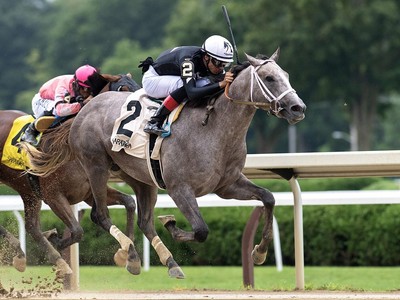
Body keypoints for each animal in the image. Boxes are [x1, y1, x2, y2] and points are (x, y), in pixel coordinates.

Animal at [0, 74, 141, 274]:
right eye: (122, 90)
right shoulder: (53, 196)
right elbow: (77, 231)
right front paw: (55, 239)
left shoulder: (89, 192)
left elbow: (129, 202)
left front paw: (130, 257)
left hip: (28, 192)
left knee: (32, 226)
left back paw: (26, 256)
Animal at [23, 49, 306, 278]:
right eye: (269, 78)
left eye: (286, 74)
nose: (297, 108)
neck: (213, 128)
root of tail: (85, 107)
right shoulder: (180, 188)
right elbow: (201, 230)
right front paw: (172, 225)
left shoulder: (228, 185)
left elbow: (268, 198)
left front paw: (259, 252)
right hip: (95, 166)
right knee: (100, 214)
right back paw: (110, 250)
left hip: (138, 176)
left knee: (143, 220)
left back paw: (155, 261)